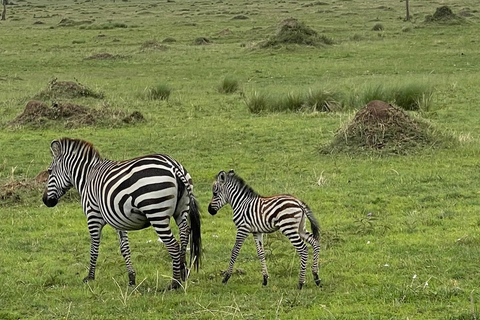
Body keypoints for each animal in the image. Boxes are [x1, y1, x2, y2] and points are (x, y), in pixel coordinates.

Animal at [42, 138, 202, 290]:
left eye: (49, 171)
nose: (45, 201)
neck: (88, 176)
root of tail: (173, 165)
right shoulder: (118, 218)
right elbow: (125, 248)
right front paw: (131, 279)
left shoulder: (93, 216)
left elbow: (94, 247)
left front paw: (90, 277)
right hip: (182, 210)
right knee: (184, 234)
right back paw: (183, 273)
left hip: (156, 213)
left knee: (173, 244)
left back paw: (174, 283)